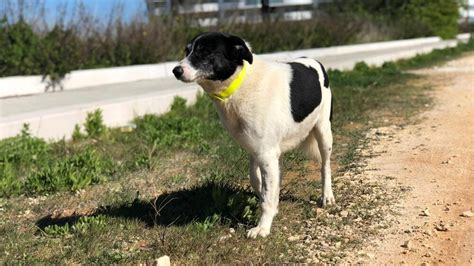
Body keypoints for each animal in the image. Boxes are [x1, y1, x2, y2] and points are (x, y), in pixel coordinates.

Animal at [173, 31, 334, 239]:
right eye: (187, 51)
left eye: (204, 51)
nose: (176, 70)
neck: (240, 83)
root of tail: (313, 60)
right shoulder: (257, 150)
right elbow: (257, 181)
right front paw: (271, 203)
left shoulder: (266, 154)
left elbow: (266, 193)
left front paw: (263, 227)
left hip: (323, 130)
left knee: (325, 165)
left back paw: (327, 195)